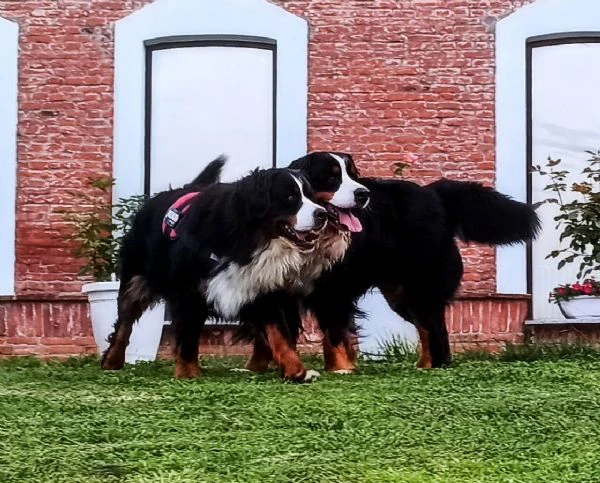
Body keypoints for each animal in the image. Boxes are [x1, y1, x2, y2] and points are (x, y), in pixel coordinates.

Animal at [99, 155, 370, 382]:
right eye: (290, 197)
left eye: (311, 195)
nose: (321, 214)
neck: (248, 238)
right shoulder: (190, 292)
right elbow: (187, 338)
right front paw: (187, 374)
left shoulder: (261, 288)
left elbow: (280, 336)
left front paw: (297, 371)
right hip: (136, 280)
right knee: (124, 324)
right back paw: (112, 361)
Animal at [241, 151, 540, 374]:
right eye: (331, 177)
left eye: (353, 175)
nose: (363, 194)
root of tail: (434, 193)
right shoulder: (273, 287)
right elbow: (268, 332)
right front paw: (257, 366)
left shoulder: (334, 291)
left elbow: (334, 334)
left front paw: (340, 369)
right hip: (401, 293)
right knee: (428, 328)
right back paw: (426, 365)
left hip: (420, 287)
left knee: (434, 328)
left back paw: (431, 367)